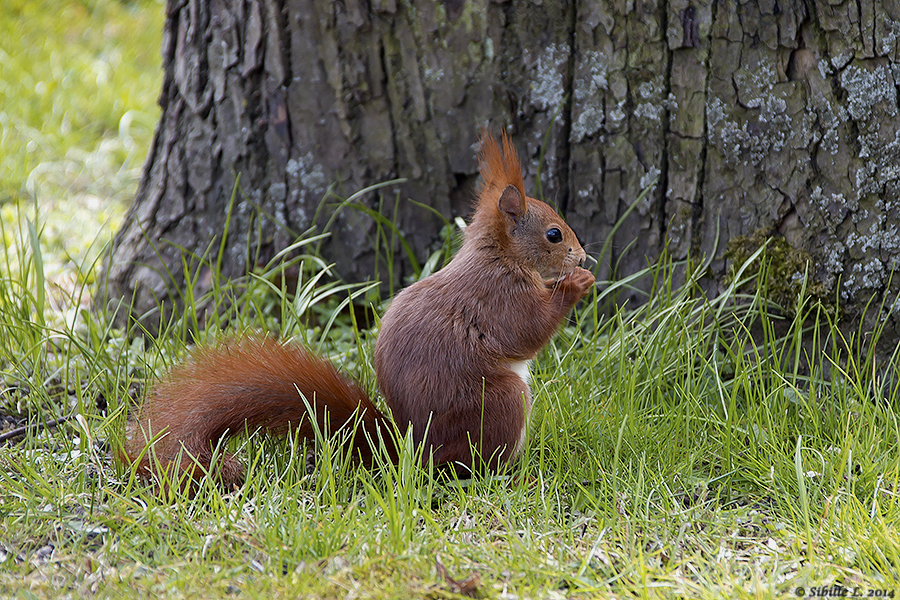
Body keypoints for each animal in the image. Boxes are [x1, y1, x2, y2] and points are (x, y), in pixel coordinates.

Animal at [121, 132, 596, 488]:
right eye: (554, 234)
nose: (583, 255)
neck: (499, 255)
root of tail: (414, 457)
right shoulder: (500, 296)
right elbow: (528, 330)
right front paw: (576, 284)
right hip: (500, 404)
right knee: (471, 468)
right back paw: (505, 474)